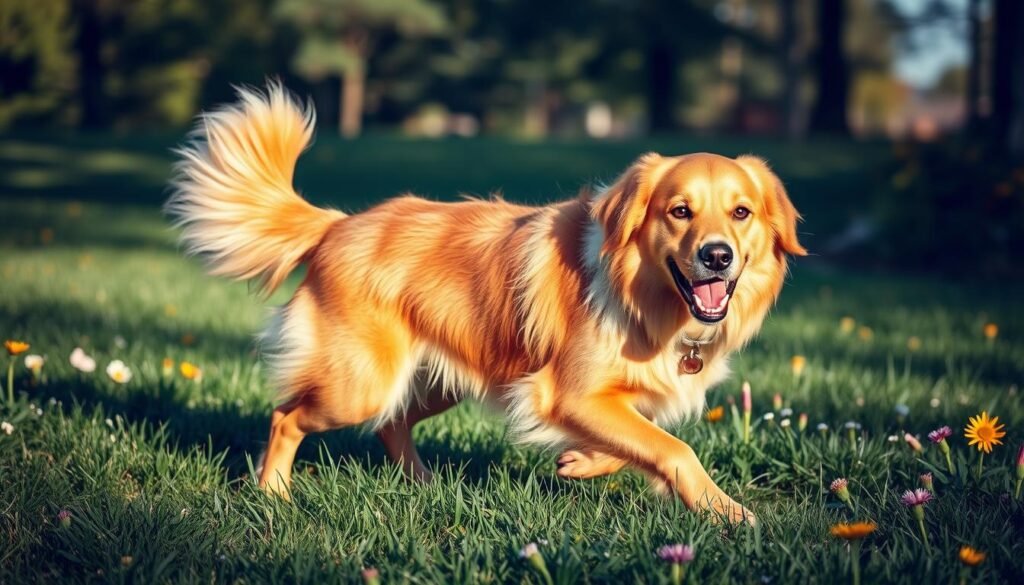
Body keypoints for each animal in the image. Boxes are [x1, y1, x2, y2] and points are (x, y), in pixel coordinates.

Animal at [167, 83, 802, 524]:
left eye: (740, 212)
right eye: (680, 211)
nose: (717, 256)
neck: (645, 297)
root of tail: (338, 224)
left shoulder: (597, 398)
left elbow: (644, 440)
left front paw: (582, 462)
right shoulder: (564, 392)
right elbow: (675, 449)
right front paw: (727, 512)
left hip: (445, 378)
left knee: (391, 424)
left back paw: (422, 485)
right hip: (359, 384)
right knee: (287, 417)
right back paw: (273, 493)